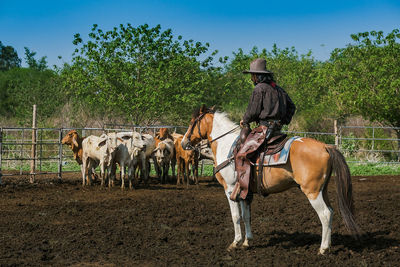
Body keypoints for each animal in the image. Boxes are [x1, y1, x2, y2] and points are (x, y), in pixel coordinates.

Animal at [181, 105, 360, 254]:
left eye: (192, 122)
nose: (183, 142)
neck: (226, 146)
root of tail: (325, 146)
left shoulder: (230, 188)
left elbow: (236, 216)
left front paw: (235, 242)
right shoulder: (245, 191)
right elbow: (246, 216)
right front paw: (247, 242)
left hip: (312, 192)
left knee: (325, 214)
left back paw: (323, 249)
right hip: (323, 190)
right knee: (331, 211)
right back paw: (327, 245)